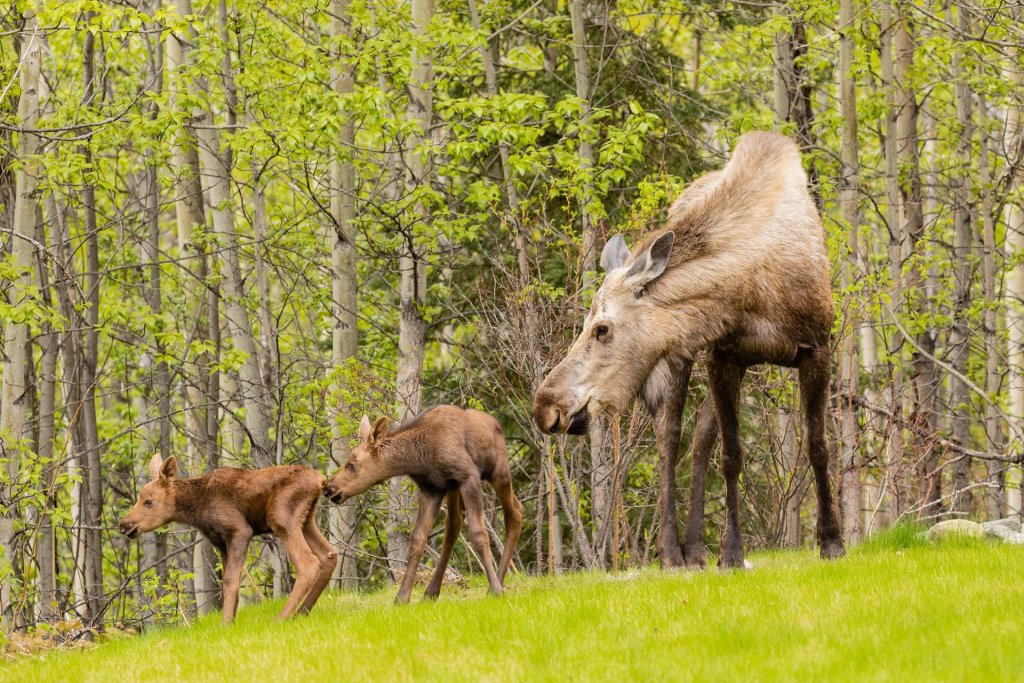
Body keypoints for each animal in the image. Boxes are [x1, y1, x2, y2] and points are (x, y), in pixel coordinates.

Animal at [119, 456, 335, 622]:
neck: (199, 509)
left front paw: (225, 623)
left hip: (281, 517)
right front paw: (231, 620)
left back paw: (282, 618)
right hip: (306, 521)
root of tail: (320, 480)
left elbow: (231, 580)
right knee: (329, 554)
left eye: (148, 501)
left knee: (308, 563)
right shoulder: (220, 542)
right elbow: (229, 581)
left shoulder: (240, 530)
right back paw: (301, 613)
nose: (124, 525)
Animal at [325, 405, 524, 602]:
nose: (329, 488)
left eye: (352, 465)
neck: (419, 459)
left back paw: (497, 583)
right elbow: (417, 540)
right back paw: (432, 591)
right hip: (453, 489)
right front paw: (402, 597)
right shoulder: (432, 489)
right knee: (454, 524)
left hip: (498, 471)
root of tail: (497, 424)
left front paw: (497, 590)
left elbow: (478, 534)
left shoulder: (469, 476)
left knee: (515, 511)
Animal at [532, 131, 843, 569]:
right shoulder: (723, 356)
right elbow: (731, 455)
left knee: (700, 436)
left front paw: (832, 540)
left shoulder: (816, 349)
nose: (547, 405)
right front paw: (732, 551)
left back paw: (693, 546)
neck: (751, 292)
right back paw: (673, 551)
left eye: (601, 329)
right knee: (672, 436)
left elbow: (818, 446)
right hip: (682, 355)